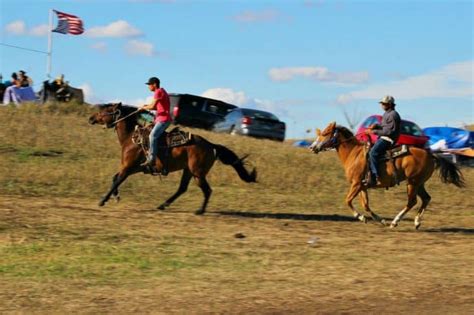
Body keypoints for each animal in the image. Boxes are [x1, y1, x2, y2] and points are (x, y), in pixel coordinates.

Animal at [90, 103, 260, 215]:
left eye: (106, 110)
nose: (91, 118)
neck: (131, 138)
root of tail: (211, 145)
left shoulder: (128, 166)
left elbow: (117, 180)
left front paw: (103, 200)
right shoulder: (134, 167)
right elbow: (115, 178)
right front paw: (115, 197)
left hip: (198, 173)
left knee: (207, 190)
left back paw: (200, 210)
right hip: (188, 171)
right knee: (182, 189)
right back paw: (163, 205)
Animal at [310, 121, 464, 230]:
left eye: (325, 133)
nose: (312, 147)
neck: (354, 154)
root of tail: (430, 154)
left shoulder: (356, 184)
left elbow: (348, 200)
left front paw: (361, 217)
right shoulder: (362, 186)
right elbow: (366, 205)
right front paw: (380, 220)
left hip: (412, 182)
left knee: (412, 201)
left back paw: (395, 222)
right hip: (419, 183)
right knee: (426, 198)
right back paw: (416, 222)